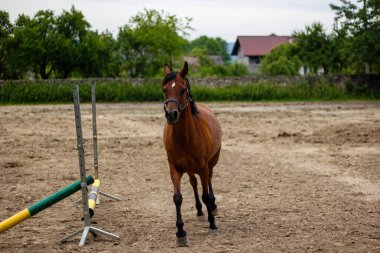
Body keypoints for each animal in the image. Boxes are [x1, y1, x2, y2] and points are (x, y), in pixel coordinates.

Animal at [161, 62, 221, 246]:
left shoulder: (203, 167)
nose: (171, 114)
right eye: (164, 89)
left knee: (209, 181)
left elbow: (206, 195)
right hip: (189, 169)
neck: (184, 137)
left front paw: (212, 225)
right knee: (193, 183)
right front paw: (180, 232)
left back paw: (213, 208)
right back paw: (200, 210)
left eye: (182, 89)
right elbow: (177, 198)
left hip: (211, 163)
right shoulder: (174, 169)